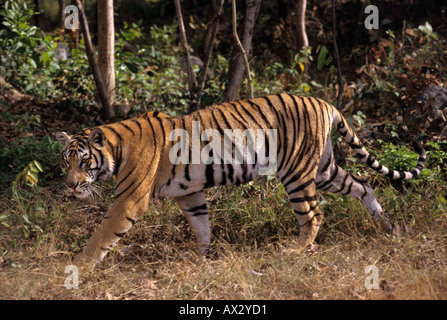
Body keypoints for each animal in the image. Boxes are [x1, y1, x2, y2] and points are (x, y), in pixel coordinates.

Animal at [56, 93, 428, 270]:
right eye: (66, 160)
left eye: (84, 161)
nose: (70, 186)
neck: (116, 150)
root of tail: (324, 102)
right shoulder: (190, 193)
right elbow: (202, 226)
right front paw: (201, 256)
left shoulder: (128, 200)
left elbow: (102, 235)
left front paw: (79, 267)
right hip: (325, 170)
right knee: (364, 184)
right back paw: (388, 226)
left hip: (297, 172)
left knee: (313, 214)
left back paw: (295, 250)